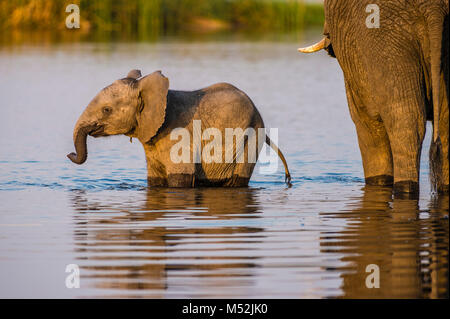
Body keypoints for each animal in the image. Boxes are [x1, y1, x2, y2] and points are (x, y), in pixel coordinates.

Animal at [67, 69, 292, 186]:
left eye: (106, 110)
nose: (70, 154)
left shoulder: (179, 137)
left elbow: (180, 179)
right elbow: (155, 180)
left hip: (252, 135)